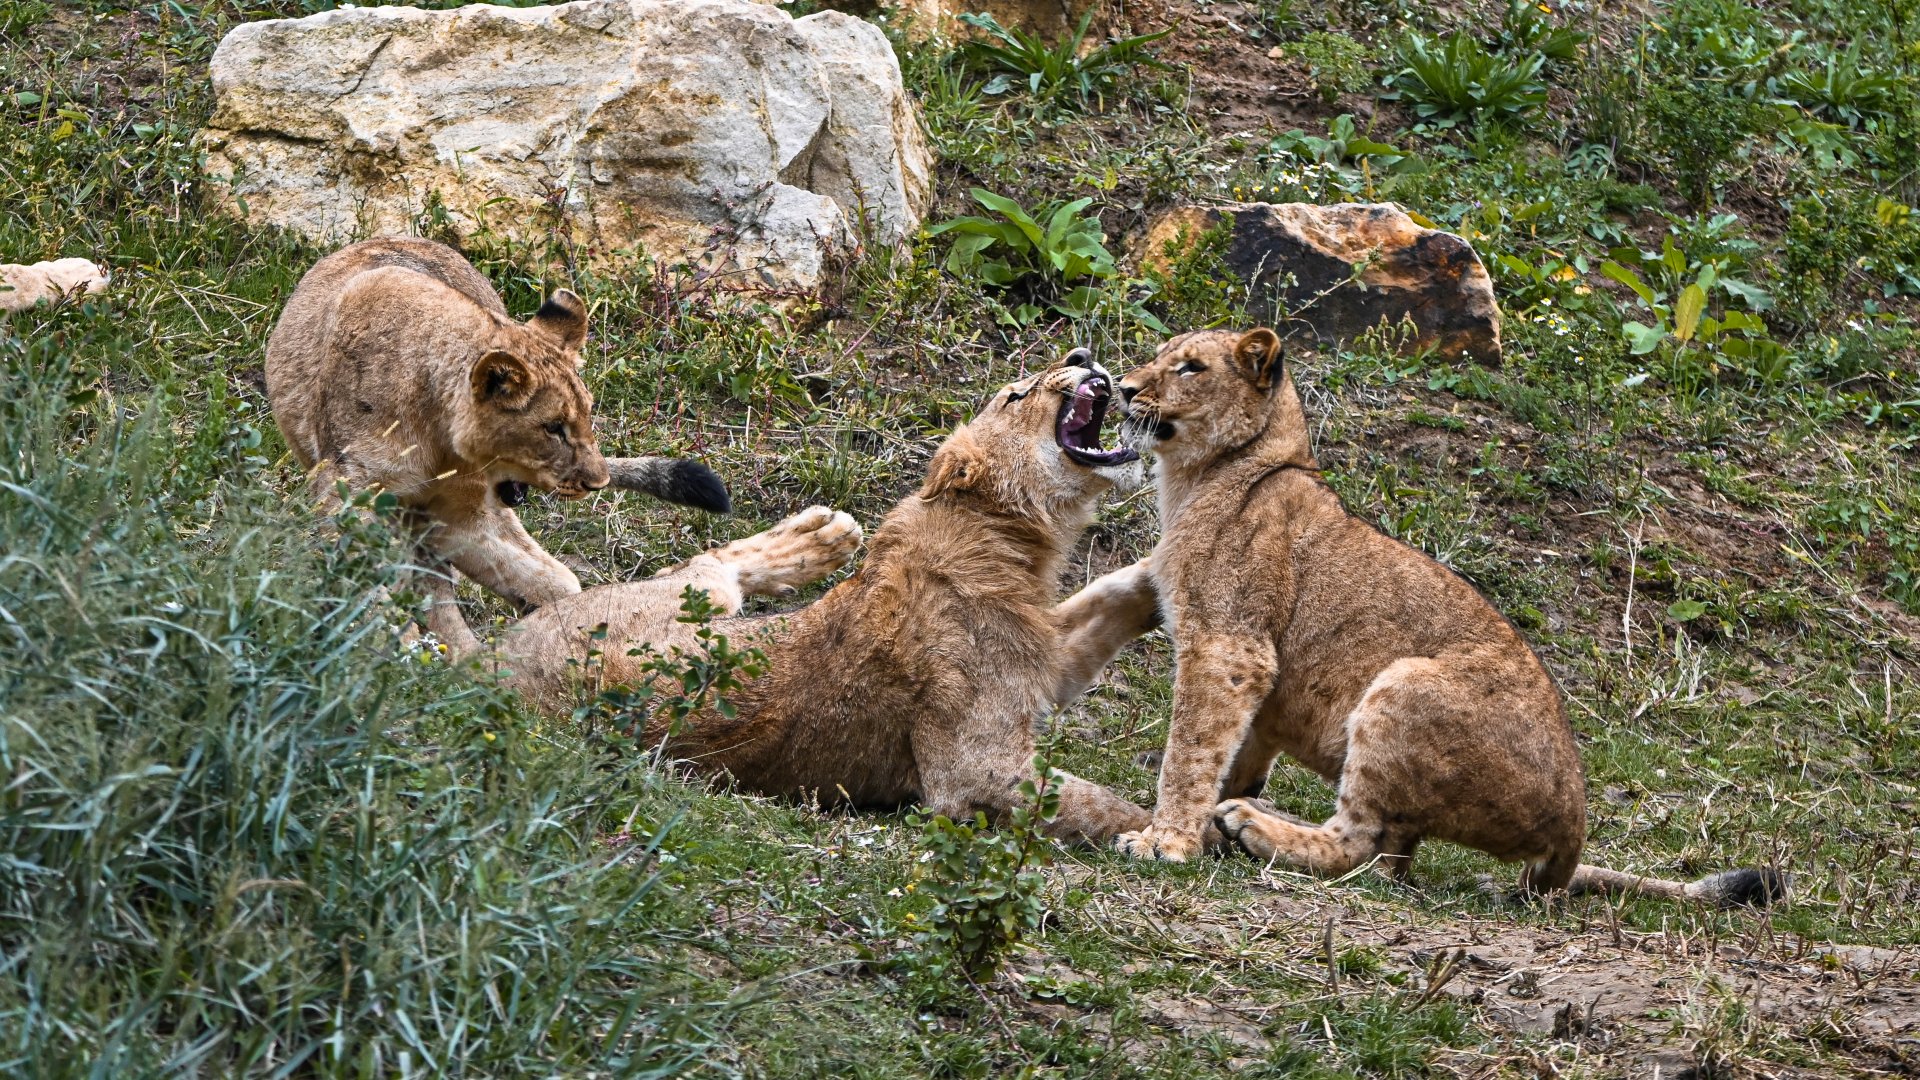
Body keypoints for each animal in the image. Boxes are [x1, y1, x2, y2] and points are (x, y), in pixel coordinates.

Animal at [266, 237, 728, 647]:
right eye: (554, 427)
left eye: (587, 414)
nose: (596, 483)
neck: (438, 435)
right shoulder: (344, 489)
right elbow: (370, 591)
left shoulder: (460, 515)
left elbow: (536, 579)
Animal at [493, 351, 1167, 841]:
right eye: (1016, 395)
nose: (1081, 353)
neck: (1014, 541)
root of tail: (494, 658)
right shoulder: (975, 773)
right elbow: (1095, 803)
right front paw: (1163, 837)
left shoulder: (1046, 658)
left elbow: (1110, 598)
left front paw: (1167, 571)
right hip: (668, 612)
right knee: (706, 564)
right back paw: (825, 535)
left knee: (711, 562)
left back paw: (825, 537)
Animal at [1108, 328, 1786, 906]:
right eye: (1161, 357)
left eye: (1190, 368)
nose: (1123, 386)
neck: (1197, 477)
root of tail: (1574, 826)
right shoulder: (1255, 684)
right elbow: (1233, 757)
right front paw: (1195, 831)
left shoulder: (1230, 648)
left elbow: (1190, 752)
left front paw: (1165, 843)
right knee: (1389, 861)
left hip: (1404, 683)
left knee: (1360, 845)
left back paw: (1254, 829)